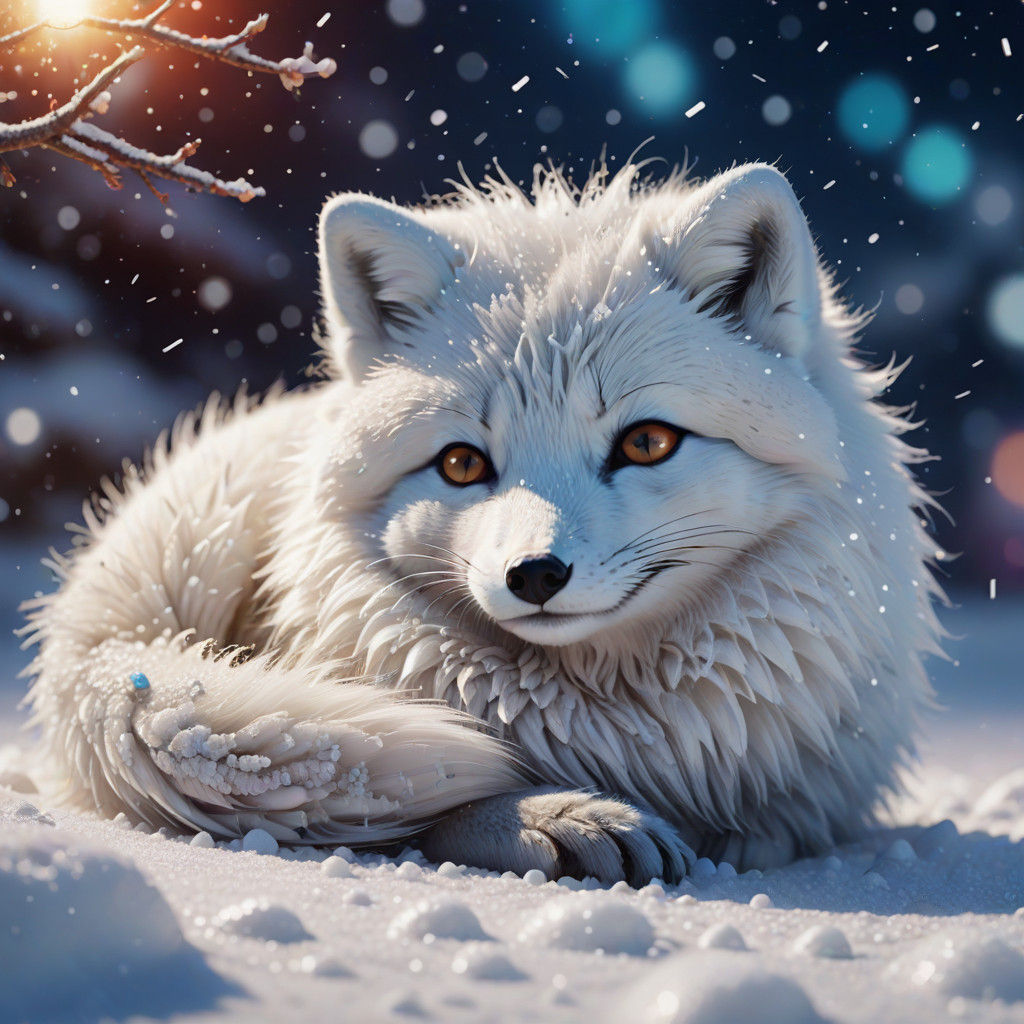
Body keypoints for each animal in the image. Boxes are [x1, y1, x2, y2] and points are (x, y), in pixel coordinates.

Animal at [21, 160, 944, 884]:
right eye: (463, 463)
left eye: (647, 442)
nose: (534, 575)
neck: (610, 717)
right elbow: (430, 798)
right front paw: (553, 815)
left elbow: (772, 831)